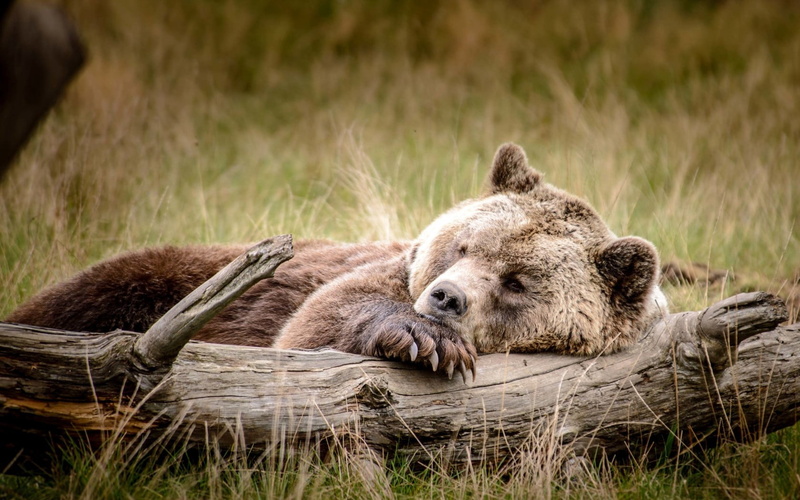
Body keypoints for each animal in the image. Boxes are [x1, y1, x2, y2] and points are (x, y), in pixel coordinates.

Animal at [6, 143, 667, 381]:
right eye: (463, 245)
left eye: (518, 282)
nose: (445, 298)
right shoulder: (368, 274)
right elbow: (319, 319)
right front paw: (423, 339)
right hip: (152, 277)